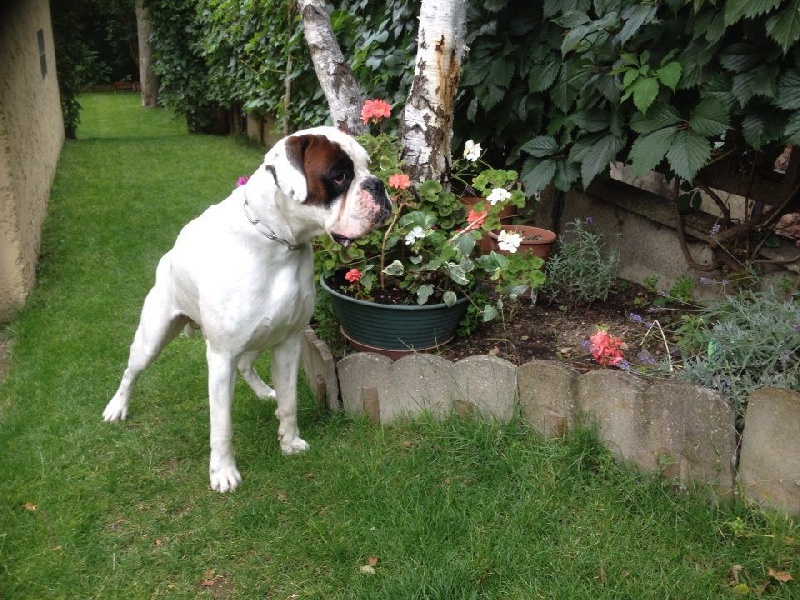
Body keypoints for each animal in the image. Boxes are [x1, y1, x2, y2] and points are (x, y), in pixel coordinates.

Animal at [103, 125, 390, 492]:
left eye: (367, 165)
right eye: (340, 176)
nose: (378, 185)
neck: (278, 241)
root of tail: (169, 256)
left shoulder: (289, 343)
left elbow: (290, 401)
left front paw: (289, 441)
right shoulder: (220, 356)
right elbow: (221, 424)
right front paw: (223, 472)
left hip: (260, 336)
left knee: (246, 365)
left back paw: (265, 392)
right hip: (153, 338)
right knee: (131, 372)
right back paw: (117, 407)